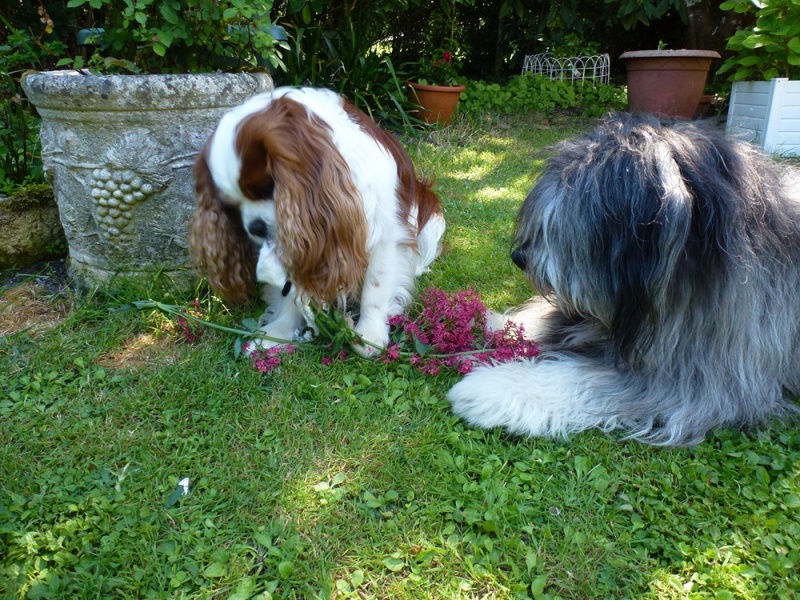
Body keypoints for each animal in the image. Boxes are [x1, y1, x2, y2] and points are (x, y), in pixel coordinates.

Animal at [191, 86, 446, 354]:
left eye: (267, 188)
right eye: (231, 205)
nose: (255, 228)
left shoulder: (388, 232)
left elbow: (375, 288)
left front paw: (370, 334)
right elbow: (291, 290)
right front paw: (279, 331)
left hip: (431, 221)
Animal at [450, 116, 800, 446]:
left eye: (561, 225)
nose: (519, 257)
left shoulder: (713, 370)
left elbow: (585, 379)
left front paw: (488, 388)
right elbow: (551, 319)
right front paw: (495, 323)